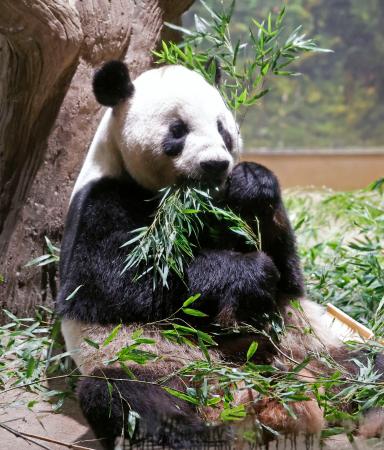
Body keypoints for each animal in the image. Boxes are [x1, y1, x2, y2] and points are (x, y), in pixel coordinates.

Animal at [56, 60, 380, 450]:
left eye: (222, 128)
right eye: (177, 131)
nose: (215, 164)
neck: (184, 200)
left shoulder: (221, 209)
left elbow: (287, 277)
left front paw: (253, 183)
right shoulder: (101, 202)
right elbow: (112, 285)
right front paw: (247, 272)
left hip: (313, 348)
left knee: (365, 363)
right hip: (153, 362)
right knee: (128, 398)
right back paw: (209, 433)